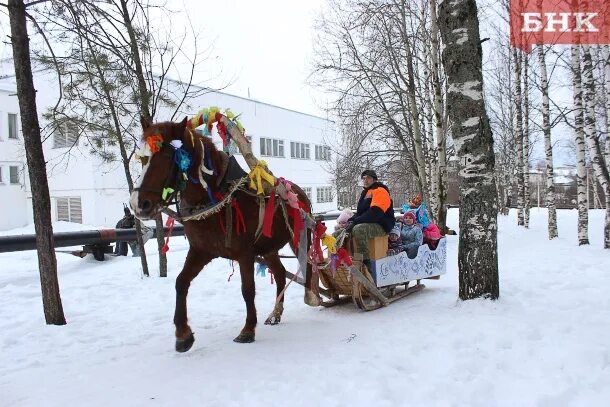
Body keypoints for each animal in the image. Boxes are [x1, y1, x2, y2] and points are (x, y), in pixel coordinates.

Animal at [131, 116, 320, 352]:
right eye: (142, 158)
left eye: (166, 156)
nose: (138, 205)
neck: (214, 200)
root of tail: (298, 192)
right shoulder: (201, 251)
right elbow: (181, 282)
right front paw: (183, 334)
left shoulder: (245, 254)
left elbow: (247, 289)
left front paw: (248, 329)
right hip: (269, 248)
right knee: (279, 273)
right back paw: (276, 313)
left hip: (299, 237)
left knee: (309, 265)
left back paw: (313, 296)